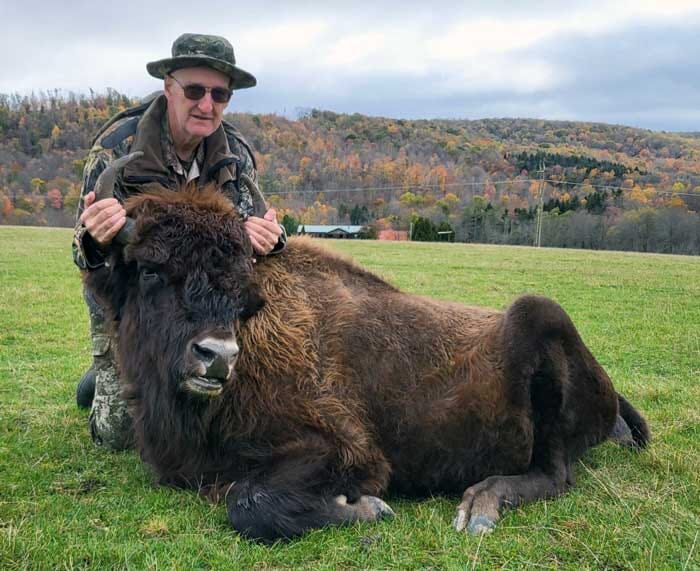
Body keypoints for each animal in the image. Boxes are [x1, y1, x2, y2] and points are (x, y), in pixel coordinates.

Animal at [85, 160, 648, 540]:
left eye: (243, 286)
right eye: (151, 269)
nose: (217, 355)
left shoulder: (344, 449)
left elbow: (249, 501)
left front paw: (367, 509)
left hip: (543, 320)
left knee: (555, 474)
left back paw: (479, 507)